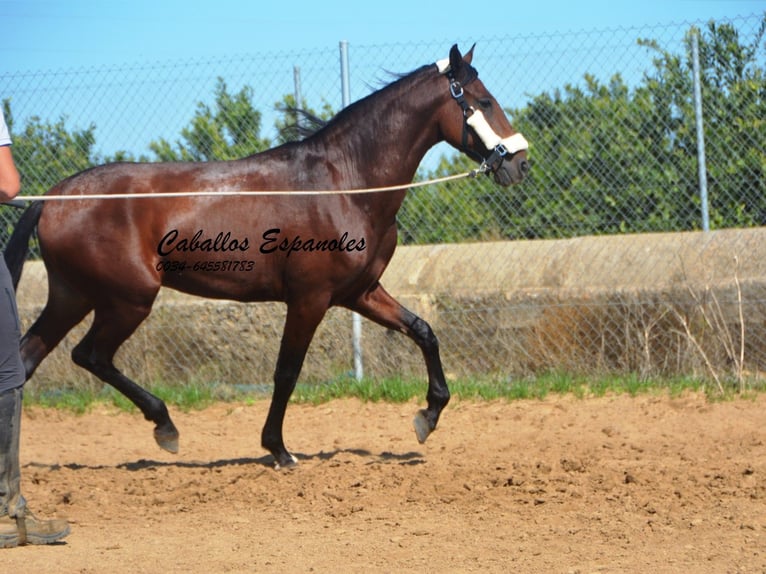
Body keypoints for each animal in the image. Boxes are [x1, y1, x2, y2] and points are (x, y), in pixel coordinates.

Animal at [4, 44, 528, 468]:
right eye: (483, 101)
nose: (520, 163)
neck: (344, 184)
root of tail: (53, 198)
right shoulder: (310, 299)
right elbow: (286, 371)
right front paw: (278, 449)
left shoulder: (359, 293)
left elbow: (423, 331)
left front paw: (428, 415)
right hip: (127, 300)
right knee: (90, 355)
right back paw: (166, 427)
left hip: (74, 296)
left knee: (30, 361)